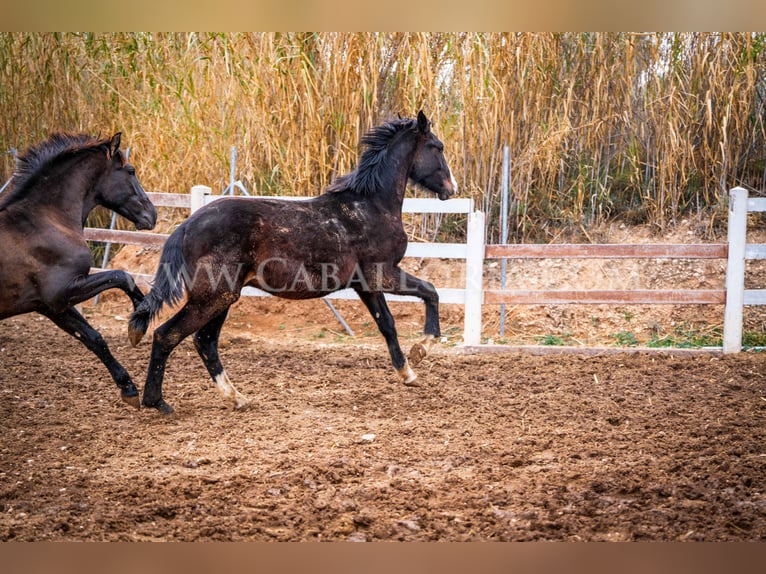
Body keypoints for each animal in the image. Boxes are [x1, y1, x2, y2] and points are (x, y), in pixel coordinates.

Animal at [0, 133, 158, 408]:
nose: (153, 214)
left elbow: (93, 338)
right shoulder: (63, 291)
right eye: (130, 170)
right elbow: (122, 276)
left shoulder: (50, 306)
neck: (46, 221)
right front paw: (140, 320)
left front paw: (128, 389)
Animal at [129, 111, 460, 414]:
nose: (451, 189)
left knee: (204, 342)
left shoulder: (365, 285)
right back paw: (156, 402)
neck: (370, 207)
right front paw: (422, 349)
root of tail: (186, 226)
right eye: (438, 146)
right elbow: (430, 291)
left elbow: (388, 325)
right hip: (214, 297)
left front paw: (408, 373)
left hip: (221, 298)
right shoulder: (383, 274)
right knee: (167, 335)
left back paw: (237, 398)